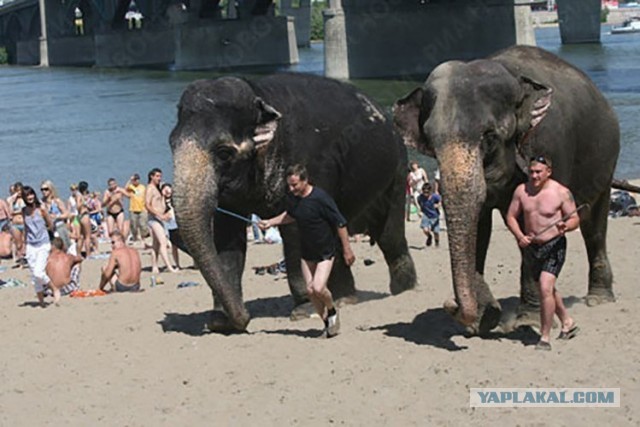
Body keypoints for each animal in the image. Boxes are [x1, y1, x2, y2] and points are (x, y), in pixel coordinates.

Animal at [172, 73, 418, 334]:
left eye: (224, 152)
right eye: (170, 144)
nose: (246, 319)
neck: (258, 92)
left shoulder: (310, 163)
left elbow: (296, 230)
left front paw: (303, 312)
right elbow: (226, 236)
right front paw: (221, 322)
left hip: (398, 172)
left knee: (389, 237)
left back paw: (402, 291)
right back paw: (346, 299)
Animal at [392, 46, 624, 334]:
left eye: (490, 137)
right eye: (431, 142)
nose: (451, 304)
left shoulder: (550, 144)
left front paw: (526, 322)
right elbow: (479, 227)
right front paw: (482, 321)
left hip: (607, 159)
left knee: (594, 225)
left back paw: (598, 298)